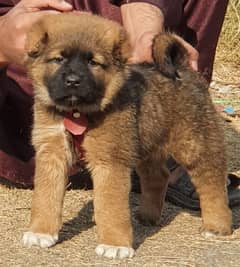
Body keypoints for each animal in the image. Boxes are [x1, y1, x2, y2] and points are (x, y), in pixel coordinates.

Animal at [21, 13, 232, 260]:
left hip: (195, 145)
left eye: (93, 62)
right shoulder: (51, 152)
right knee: (158, 176)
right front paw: (41, 232)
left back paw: (216, 225)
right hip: (147, 145)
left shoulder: (110, 161)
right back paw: (148, 215)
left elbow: (111, 207)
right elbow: (46, 196)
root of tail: (182, 68)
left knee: (212, 183)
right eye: (58, 59)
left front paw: (114, 244)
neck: (77, 112)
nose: (73, 80)